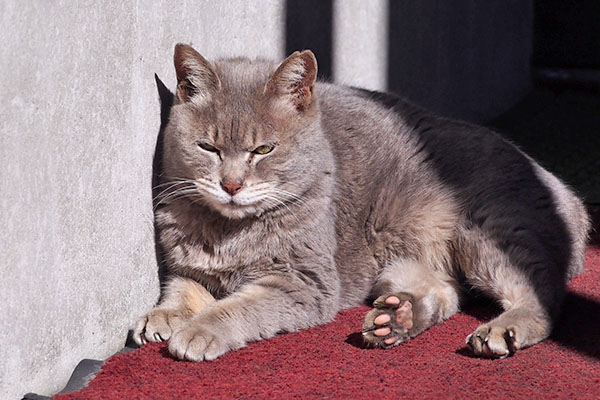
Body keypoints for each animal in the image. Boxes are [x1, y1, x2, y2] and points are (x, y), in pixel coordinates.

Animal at [132, 44, 592, 362]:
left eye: (263, 149)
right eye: (207, 147)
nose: (230, 184)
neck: (225, 232)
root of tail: (566, 192)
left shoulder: (304, 281)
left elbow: (239, 307)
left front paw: (199, 331)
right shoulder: (188, 264)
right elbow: (180, 288)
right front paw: (162, 316)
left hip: (488, 231)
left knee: (543, 293)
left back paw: (501, 328)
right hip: (404, 262)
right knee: (443, 293)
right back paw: (396, 319)